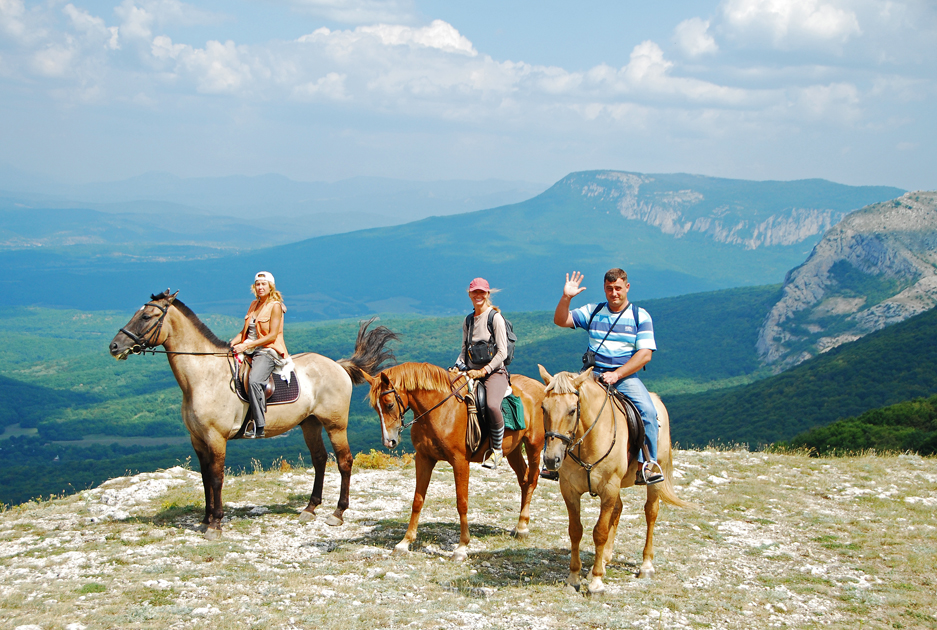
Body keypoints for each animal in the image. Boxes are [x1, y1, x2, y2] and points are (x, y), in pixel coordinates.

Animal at [109, 294, 394, 540]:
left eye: (146, 316)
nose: (114, 346)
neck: (203, 376)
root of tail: (338, 365)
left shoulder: (216, 438)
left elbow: (216, 478)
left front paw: (215, 524)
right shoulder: (198, 439)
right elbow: (204, 477)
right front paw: (205, 519)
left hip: (335, 424)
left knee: (344, 461)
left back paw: (338, 513)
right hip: (309, 423)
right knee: (320, 459)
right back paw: (310, 508)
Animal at [362, 366, 544, 564]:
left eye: (389, 404)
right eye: (375, 407)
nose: (389, 442)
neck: (441, 410)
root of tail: (540, 387)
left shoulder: (460, 462)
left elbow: (461, 502)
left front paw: (461, 547)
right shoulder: (424, 459)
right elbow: (417, 500)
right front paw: (405, 542)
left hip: (534, 445)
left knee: (532, 480)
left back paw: (523, 527)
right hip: (513, 449)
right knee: (523, 480)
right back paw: (519, 526)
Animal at [532, 368, 688, 596]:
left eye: (572, 410)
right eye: (544, 408)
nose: (552, 460)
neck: (588, 440)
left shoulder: (609, 489)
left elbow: (600, 532)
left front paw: (596, 583)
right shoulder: (569, 490)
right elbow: (575, 530)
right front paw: (574, 577)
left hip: (653, 479)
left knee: (651, 512)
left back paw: (646, 566)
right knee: (618, 509)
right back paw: (604, 561)